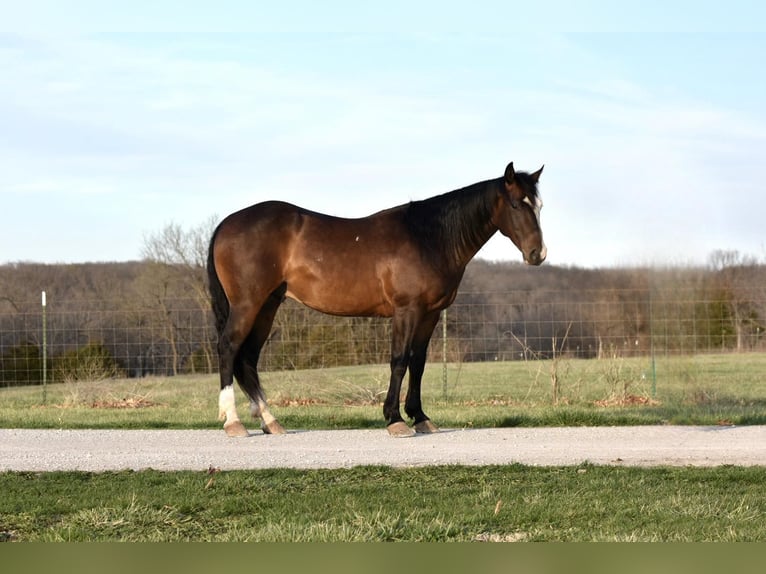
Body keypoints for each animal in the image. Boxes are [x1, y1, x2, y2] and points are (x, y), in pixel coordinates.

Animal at [208, 160, 544, 438]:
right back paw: (234, 422)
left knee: (248, 358)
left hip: (267, 306)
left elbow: (418, 362)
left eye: (539, 205)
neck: (429, 238)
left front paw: (420, 417)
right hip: (247, 305)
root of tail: (226, 224)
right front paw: (395, 419)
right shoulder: (407, 310)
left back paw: (270, 421)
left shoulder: (430, 314)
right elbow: (399, 360)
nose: (537, 254)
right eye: (516, 204)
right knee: (228, 348)